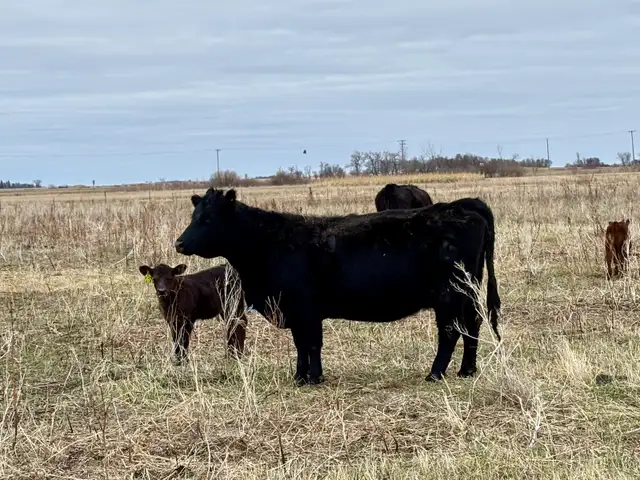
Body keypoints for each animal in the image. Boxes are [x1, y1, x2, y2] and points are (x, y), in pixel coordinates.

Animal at [174, 188, 501, 386]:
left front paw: (311, 378)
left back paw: (435, 373)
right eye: (193, 216)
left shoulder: (303, 308)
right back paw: (466, 370)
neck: (268, 243)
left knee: (450, 332)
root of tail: (461, 206)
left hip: (449, 295)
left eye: (208, 218)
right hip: (466, 293)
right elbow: (303, 344)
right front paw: (302, 376)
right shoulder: (298, 311)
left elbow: (310, 343)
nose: (179, 243)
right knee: (472, 326)